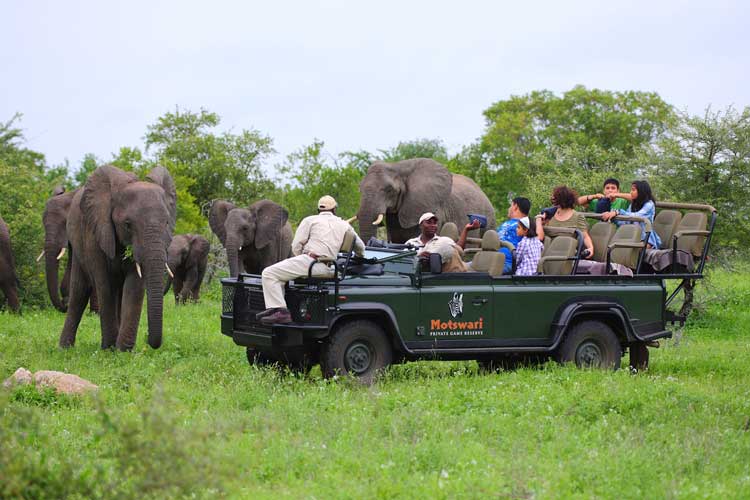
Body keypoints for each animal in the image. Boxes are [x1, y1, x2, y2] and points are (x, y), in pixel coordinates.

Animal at [58, 165, 176, 351]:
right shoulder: (96, 232)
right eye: (127, 224)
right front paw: (109, 348)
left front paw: (123, 350)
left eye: (166, 223)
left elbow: (134, 287)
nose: (148, 339)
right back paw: (65, 348)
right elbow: (104, 285)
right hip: (77, 244)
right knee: (79, 291)